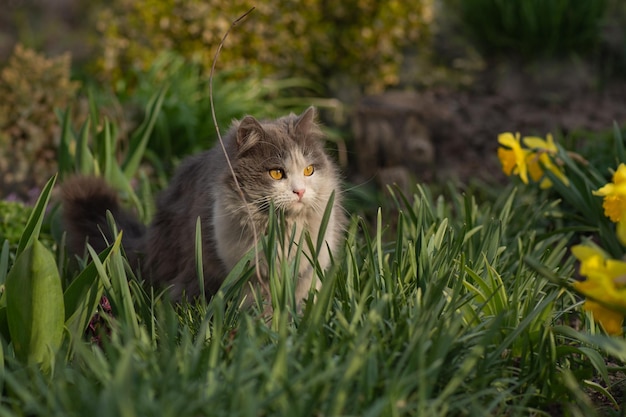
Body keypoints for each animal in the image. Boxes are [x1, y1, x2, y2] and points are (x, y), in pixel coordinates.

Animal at [62, 107, 346, 306]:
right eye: (276, 173)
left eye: (309, 170)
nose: (300, 191)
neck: (283, 231)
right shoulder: (245, 271)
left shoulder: (310, 267)